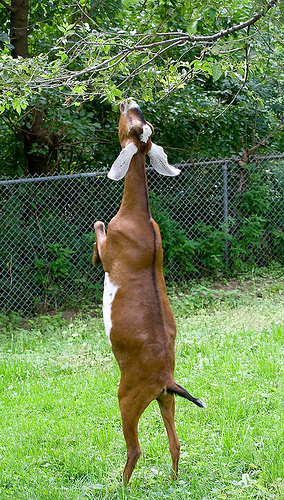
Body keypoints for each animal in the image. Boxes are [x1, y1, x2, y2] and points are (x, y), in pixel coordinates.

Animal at [94, 98, 205, 484]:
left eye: (131, 123)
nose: (131, 102)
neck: (138, 215)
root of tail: (165, 379)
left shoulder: (109, 247)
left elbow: (98, 226)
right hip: (164, 399)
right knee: (176, 444)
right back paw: (172, 481)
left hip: (127, 399)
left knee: (135, 449)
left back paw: (121, 487)